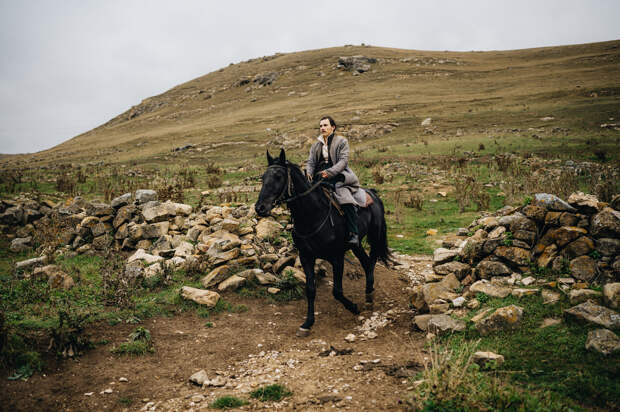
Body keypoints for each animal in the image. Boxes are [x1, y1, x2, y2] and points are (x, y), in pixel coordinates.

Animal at [253, 150, 390, 336]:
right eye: (263, 177)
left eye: (279, 176)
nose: (260, 208)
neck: (313, 215)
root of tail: (374, 194)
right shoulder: (306, 257)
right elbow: (310, 290)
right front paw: (307, 323)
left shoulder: (337, 258)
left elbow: (337, 291)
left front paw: (353, 307)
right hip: (355, 245)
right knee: (366, 262)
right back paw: (368, 295)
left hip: (375, 236)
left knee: (372, 261)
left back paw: (368, 295)